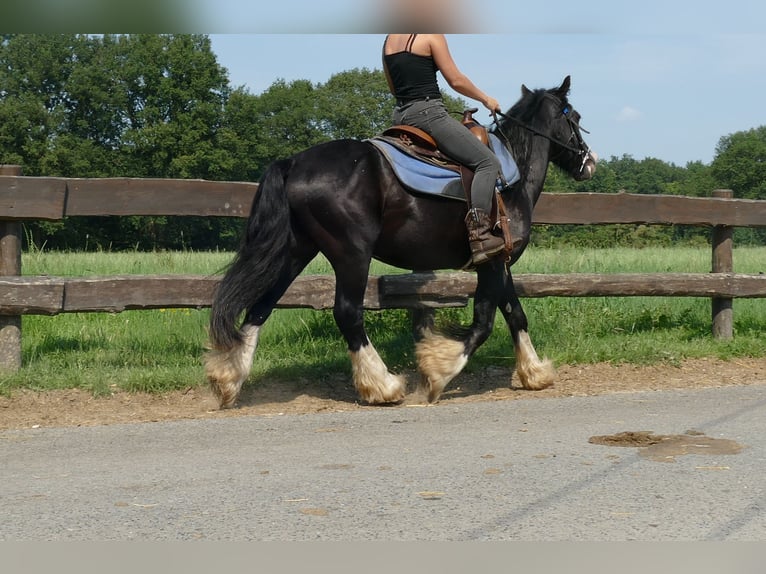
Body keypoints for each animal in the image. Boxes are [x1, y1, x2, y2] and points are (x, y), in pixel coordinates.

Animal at [206, 75, 600, 410]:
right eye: (576, 117)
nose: (590, 163)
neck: (509, 175)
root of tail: (293, 163)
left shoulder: (498, 261)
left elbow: (514, 313)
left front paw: (534, 372)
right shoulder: (492, 261)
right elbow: (486, 321)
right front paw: (439, 370)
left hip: (296, 250)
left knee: (262, 304)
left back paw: (229, 378)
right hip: (351, 254)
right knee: (347, 313)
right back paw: (382, 385)